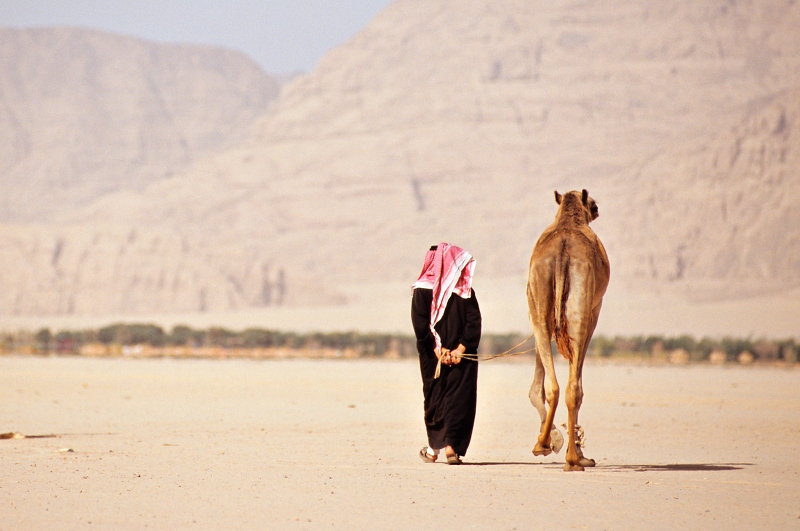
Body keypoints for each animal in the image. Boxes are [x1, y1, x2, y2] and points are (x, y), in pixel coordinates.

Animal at [528, 191, 608, 474]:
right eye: (593, 204)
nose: (597, 209)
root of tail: (563, 253)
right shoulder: (595, 309)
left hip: (541, 295)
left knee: (554, 385)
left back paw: (547, 445)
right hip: (580, 306)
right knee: (573, 386)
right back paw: (572, 458)